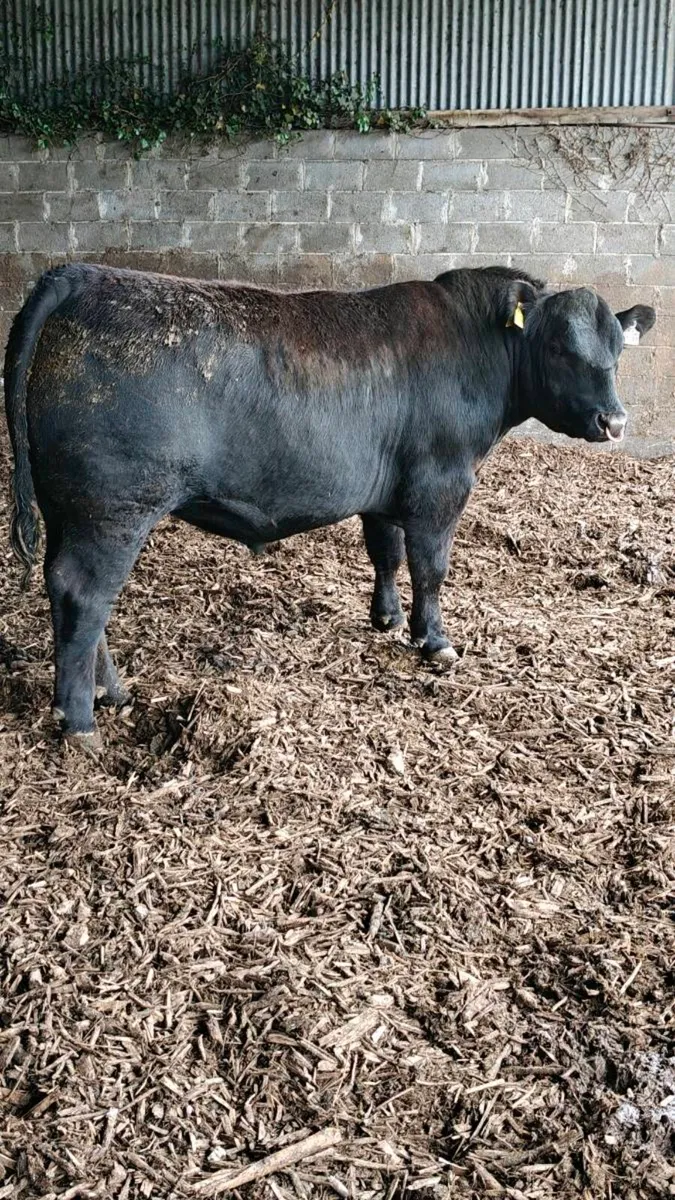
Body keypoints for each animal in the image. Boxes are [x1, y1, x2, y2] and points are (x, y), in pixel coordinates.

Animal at [4, 263, 655, 750]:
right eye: (560, 346)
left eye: (618, 351)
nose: (615, 421)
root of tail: (86, 274)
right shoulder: (441, 484)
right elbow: (431, 567)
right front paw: (433, 639)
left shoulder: (386, 491)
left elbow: (387, 553)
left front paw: (387, 617)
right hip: (113, 509)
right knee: (84, 594)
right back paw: (81, 721)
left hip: (74, 510)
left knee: (74, 596)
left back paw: (109, 692)